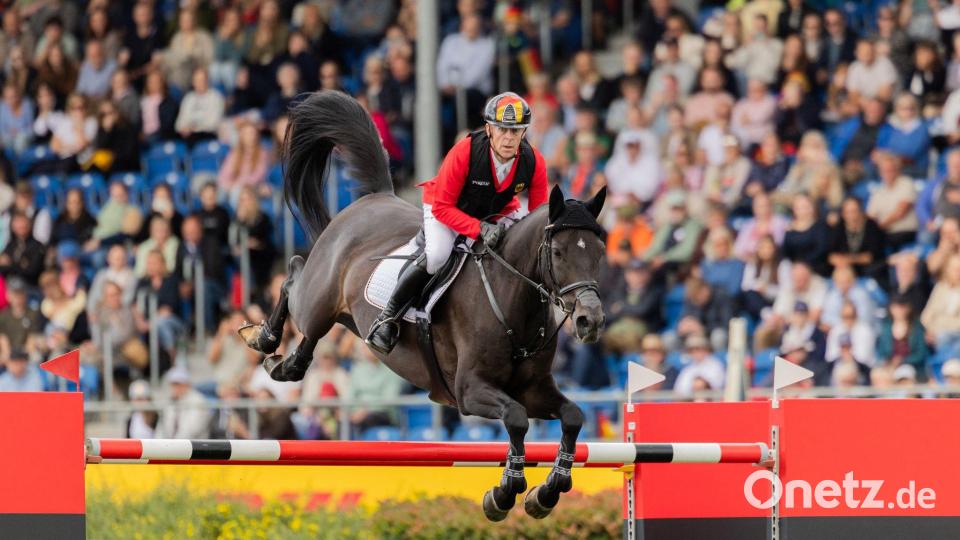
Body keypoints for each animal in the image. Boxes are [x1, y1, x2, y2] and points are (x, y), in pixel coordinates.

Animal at [238, 90, 607, 520]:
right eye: (560, 253)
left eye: (599, 250)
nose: (590, 320)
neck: (512, 302)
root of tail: (374, 197)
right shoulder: (470, 390)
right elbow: (516, 419)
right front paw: (504, 493)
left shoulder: (535, 389)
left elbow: (573, 416)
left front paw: (547, 492)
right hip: (317, 300)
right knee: (295, 282)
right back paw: (266, 342)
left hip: (347, 317)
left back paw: (286, 361)